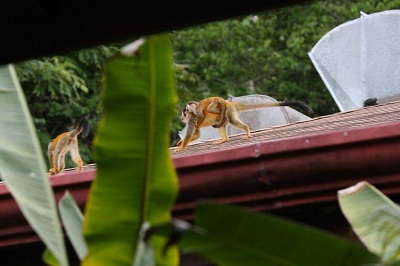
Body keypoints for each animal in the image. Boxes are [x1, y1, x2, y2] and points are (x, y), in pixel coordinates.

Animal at [177, 96, 314, 152]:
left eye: (184, 114)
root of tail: (229, 103)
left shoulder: (193, 119)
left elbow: (193, 134)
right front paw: (180, 143)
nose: (182, 117)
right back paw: (224, 139)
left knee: (231, 120)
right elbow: (197, 135)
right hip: (225, 115)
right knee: (221, 124)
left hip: (228, 111)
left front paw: (181, 147)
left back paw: (247, 130)